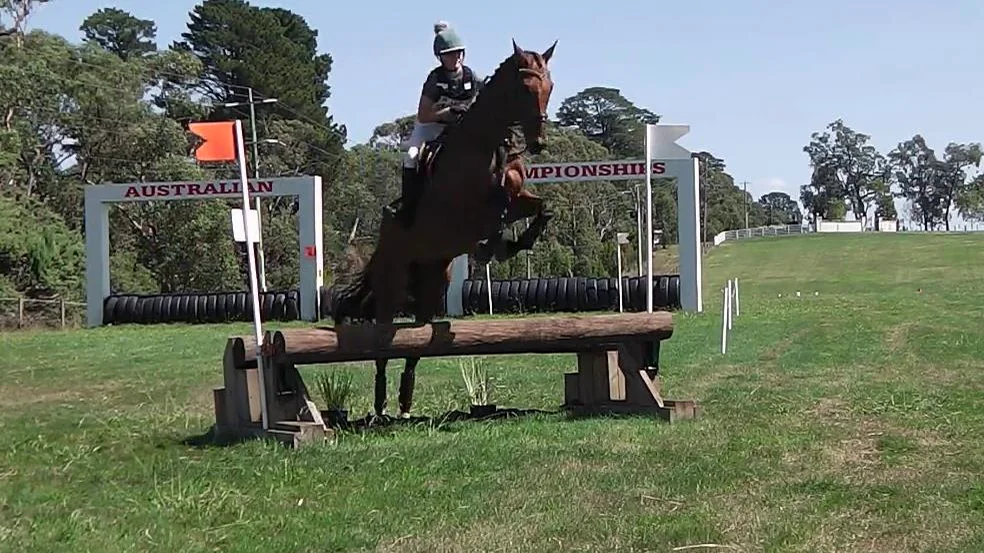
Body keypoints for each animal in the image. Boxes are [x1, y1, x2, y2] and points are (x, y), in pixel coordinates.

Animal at [334, 40, 556, 418]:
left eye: (549, 87)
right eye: (525, 89)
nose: (538, 143)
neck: (485, 142)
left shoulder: (516, 197)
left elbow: (538, 206)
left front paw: (514, 243)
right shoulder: (465, 211)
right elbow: (497, 206)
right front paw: (495, 245)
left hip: (433, 283)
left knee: (416, 338)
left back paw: (405, 402)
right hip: (391, 285)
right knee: (382, 341)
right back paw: (380, 405)